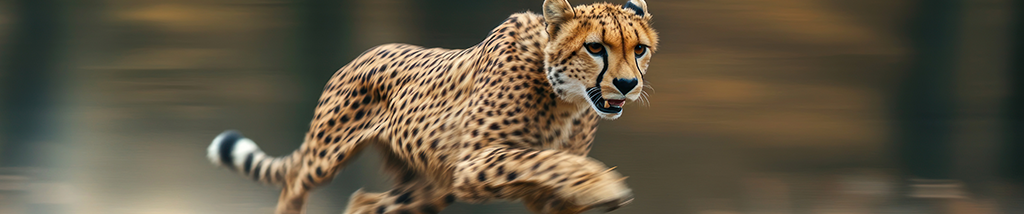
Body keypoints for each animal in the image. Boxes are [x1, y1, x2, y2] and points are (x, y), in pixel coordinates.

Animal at [203, 0, 659, 212]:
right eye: (595, 47)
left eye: (639, 49)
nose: (627, 84)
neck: (563, 96)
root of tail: (362, 54)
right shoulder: (473, 162)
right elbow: (546, 159)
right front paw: (601, 184)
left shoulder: (529, 192)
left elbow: (556, 171)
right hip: (326, 156)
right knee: (294, 182)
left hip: (430, 188)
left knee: (365, 204)